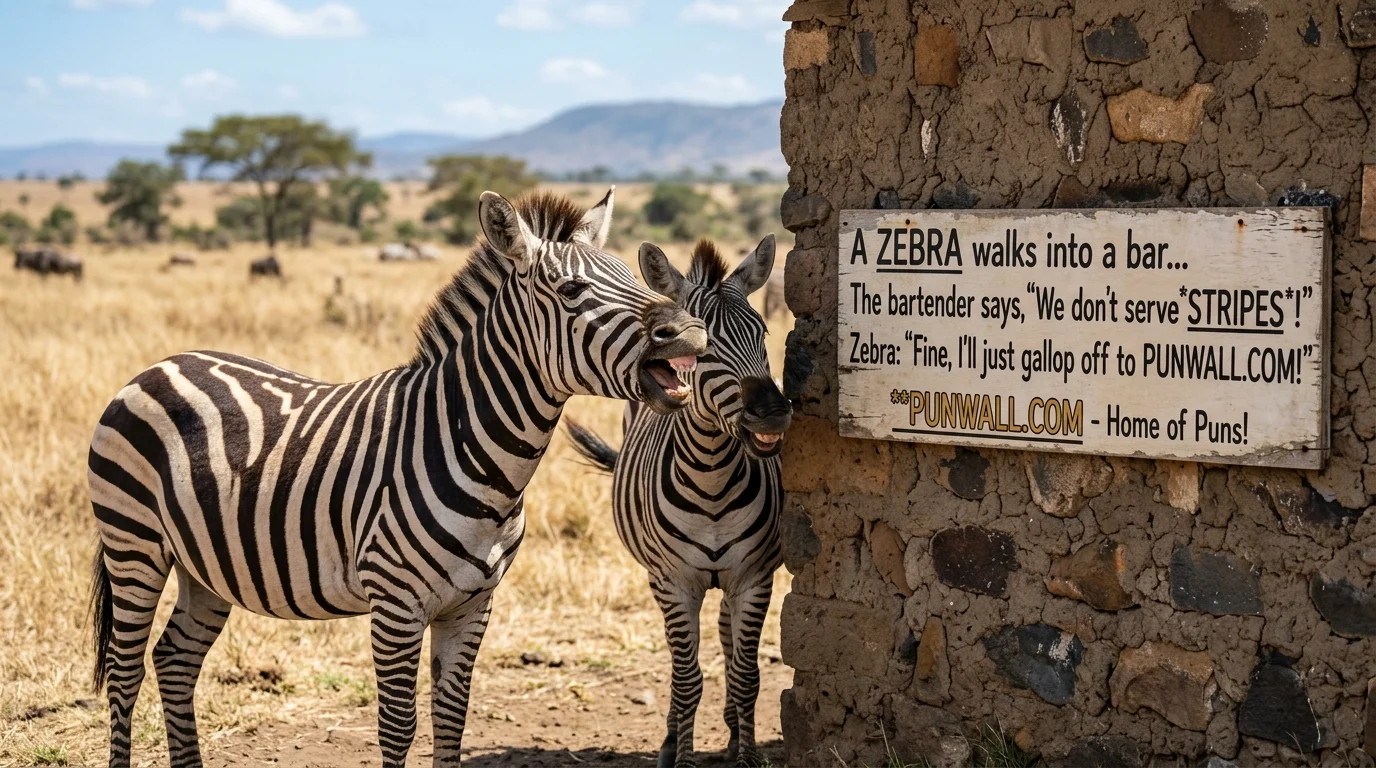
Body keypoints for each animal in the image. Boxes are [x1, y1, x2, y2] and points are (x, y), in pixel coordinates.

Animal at [86, 188, 708, 768]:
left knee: (174, 660)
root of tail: (162, 364)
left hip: (206, 565)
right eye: (571, 291)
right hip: (134, 545)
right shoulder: (395, 603)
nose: (691, 332)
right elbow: (398, 725)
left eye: (631, 275)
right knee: (124, 674)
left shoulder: (472, 604)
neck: (482, 462)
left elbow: (452, 717)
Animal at [565, 235, 791, 768]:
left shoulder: (754, 577)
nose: (773, 414)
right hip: (657, 576)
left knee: (727, 637)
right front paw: (683, 754)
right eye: (703, 349)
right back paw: (671, 740)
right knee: (679, 663)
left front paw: (746, 756)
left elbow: (746, 676)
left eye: (764, 333)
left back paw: (731, 729)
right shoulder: (675, 583)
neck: (712, 481)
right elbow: (687, 681)